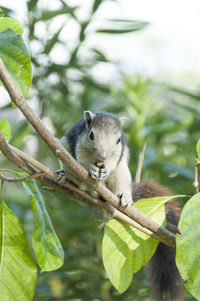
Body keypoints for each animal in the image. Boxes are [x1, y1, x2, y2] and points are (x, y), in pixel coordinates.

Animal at [59, 110, 183, 300]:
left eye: (118, 140)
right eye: (91, 135)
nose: (102, 156)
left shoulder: (119, 152)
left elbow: (112, 162)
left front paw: (106, 168)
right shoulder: (79, 143)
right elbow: (83, 160)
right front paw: (92, 169)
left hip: (122, 171)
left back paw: (123, 197)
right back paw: (75, 181)